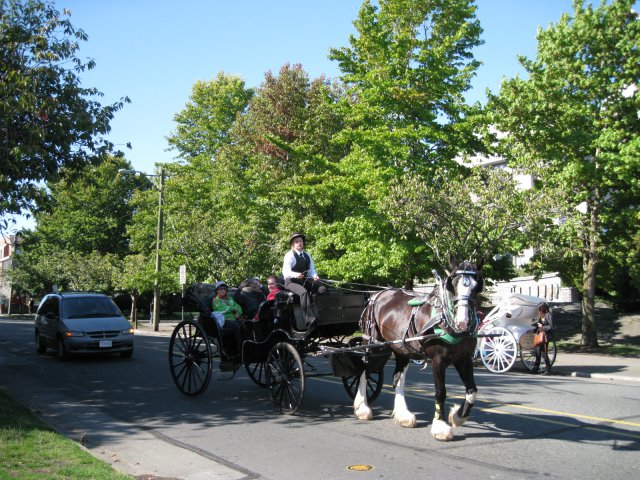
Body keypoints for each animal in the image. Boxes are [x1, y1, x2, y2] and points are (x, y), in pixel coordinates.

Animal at [356, 256, 484, 440]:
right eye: (453, 285)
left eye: (476, 286)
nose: (463, 323)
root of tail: (377, 295)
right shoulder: (438, 360)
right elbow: (440, 392)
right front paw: (440, 426)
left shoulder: (464, 359)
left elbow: (472, 390)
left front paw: (457, 416)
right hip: (374, 344)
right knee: (364, 370)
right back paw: (362, 408)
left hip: (401, 349)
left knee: (397, 378)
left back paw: (403, 414)